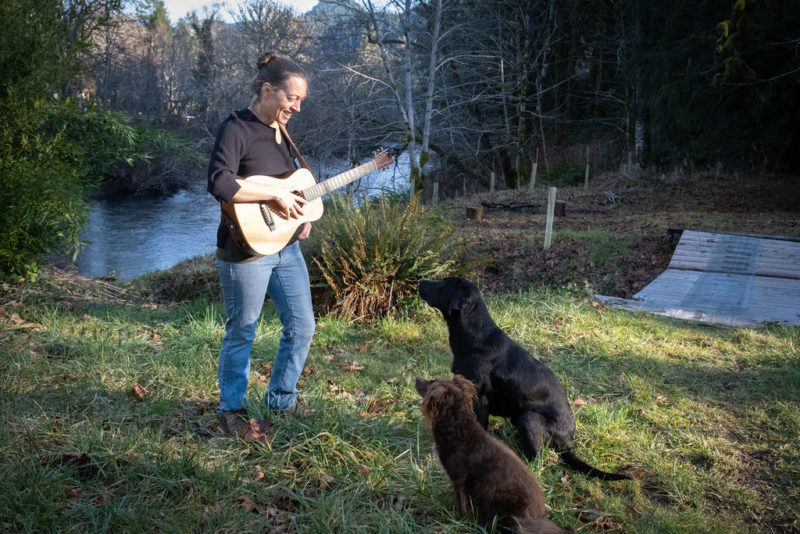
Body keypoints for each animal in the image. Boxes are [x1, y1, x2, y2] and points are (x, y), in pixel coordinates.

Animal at [416, 376, 572, 534]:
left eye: (430, 383)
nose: (417, 378)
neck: (459, 430)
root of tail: (539, 515)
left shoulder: (459, 479)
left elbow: (461, 505)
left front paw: (455, 521)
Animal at [418, 278, 632, 484]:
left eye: (443, 283)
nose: (420, 281)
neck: (475, 336)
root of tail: (567, 444)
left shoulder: (481, 397)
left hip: (528, 417)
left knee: (535, 457)